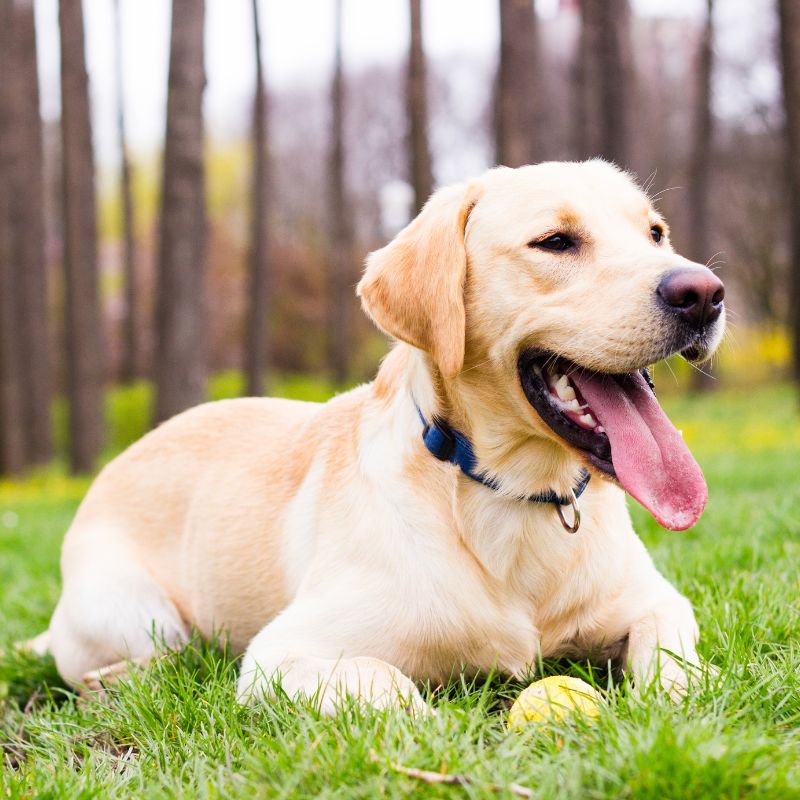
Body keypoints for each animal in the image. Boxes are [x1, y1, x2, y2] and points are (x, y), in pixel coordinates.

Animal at [37, 161, 724, 712]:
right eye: (555, 242)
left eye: (656, 233)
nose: (704, 293)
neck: (513, 494)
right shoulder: (281, 655)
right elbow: (387, 683)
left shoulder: (656, 601)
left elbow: (673, 654)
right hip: (136, 611)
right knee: (154, 656)